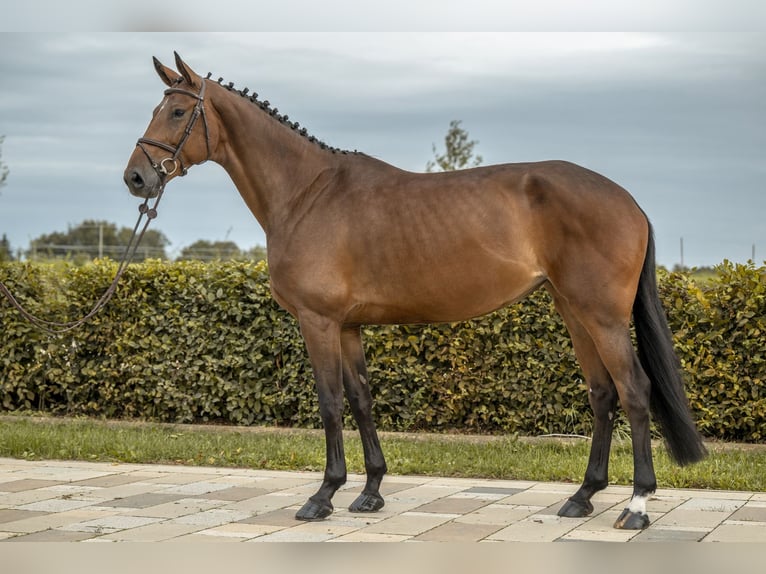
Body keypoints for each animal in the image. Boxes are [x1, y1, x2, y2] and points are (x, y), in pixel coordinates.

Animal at [123, 54, 704, 532]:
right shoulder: (348, 325)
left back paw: (636, 506)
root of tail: (628, 200)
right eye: (157, 107)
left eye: (177, 112)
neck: (307, 193)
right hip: (572, 310)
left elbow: (330, 403)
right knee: (603, 394)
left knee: (633, 390)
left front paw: (323, 496)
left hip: (601, 315)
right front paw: (370, 492)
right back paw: (582, 497)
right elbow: (361, 400)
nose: (136, 178)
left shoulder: (318, 321)